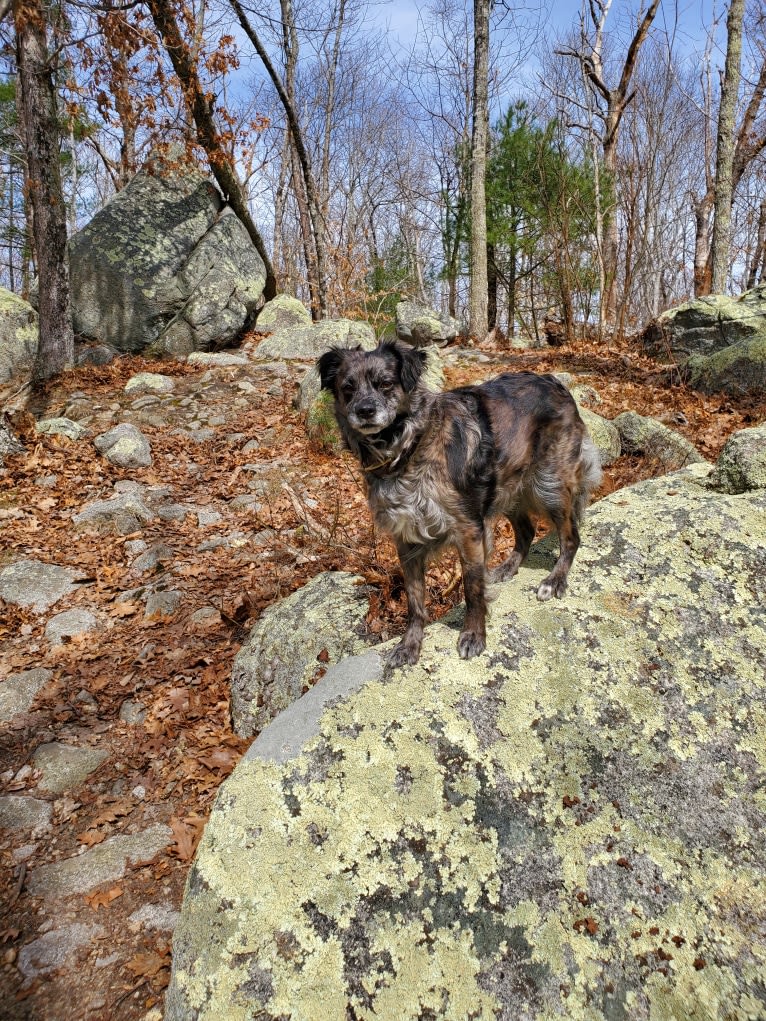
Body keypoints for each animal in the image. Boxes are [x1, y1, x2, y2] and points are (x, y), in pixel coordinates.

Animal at [318, 338, 600, 665]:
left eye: (385, 383)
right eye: (347, 388)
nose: (365, 410)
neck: (407, 449)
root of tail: (554, 381)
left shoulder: (468, 529)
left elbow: (472, 589)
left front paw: (474, 635)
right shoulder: (406, 540)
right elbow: (415, 600)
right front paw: (409, 644)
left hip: (549, 486)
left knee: (571, 536)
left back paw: (554, 580)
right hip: (506, 488)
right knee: (527, 531)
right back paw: (508, 567)